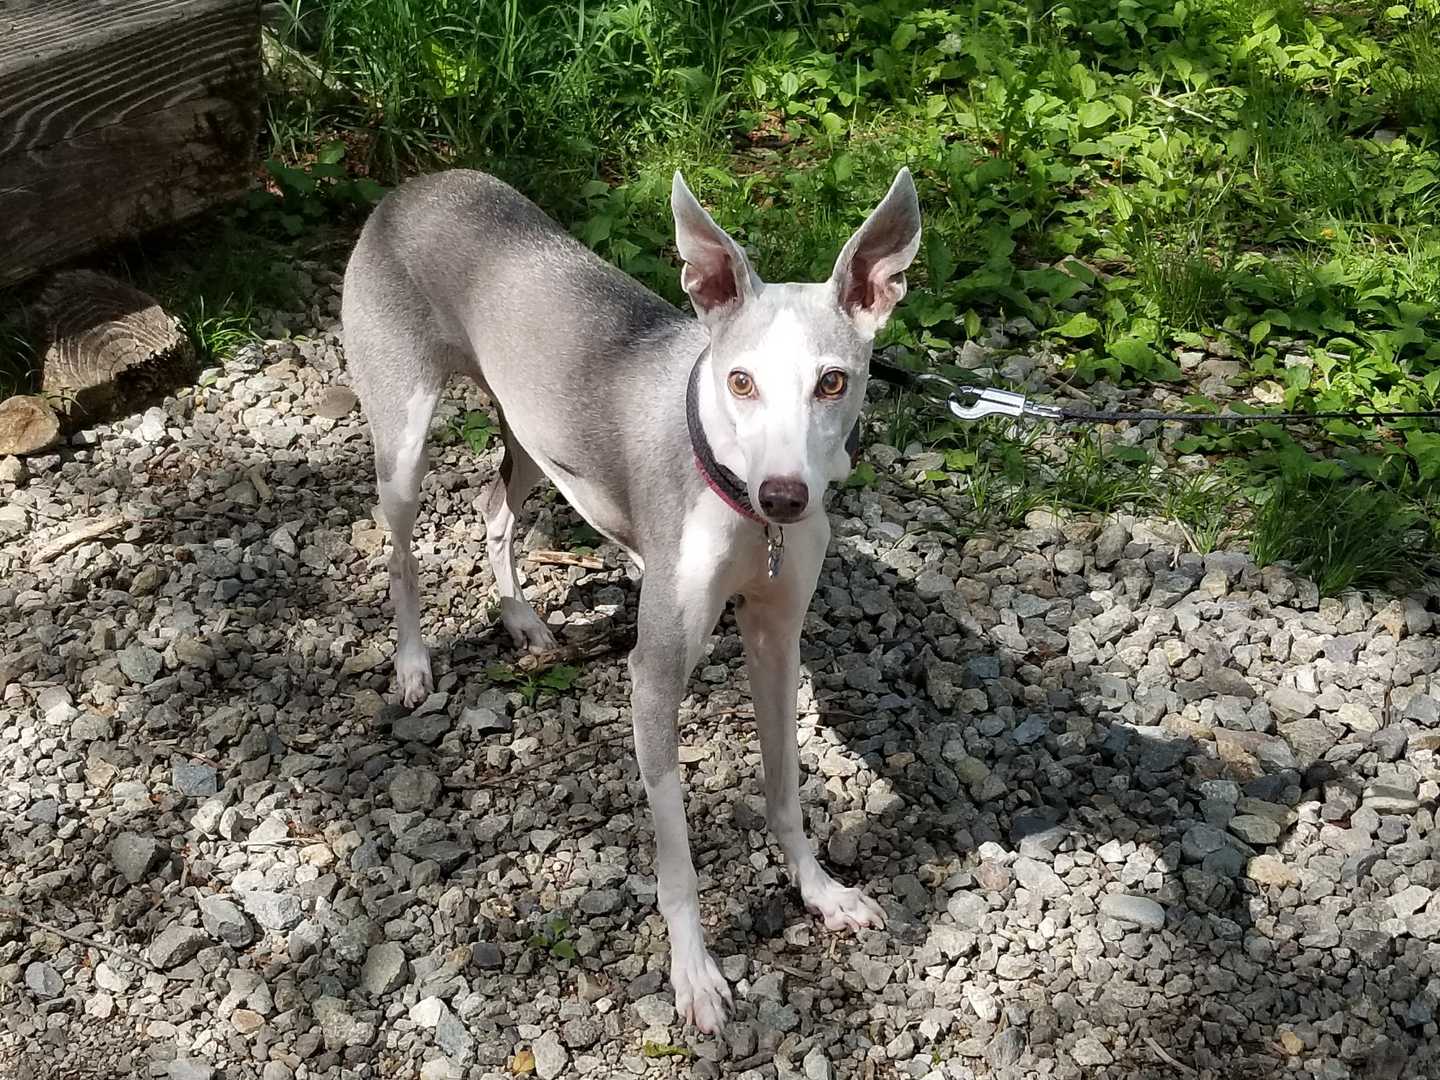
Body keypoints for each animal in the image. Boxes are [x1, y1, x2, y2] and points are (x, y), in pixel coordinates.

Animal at [342, 166, 921, 1032]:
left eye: (832, 381)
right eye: (740, 381)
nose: (785, 497)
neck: (736, 500)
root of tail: (422, 182)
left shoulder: (776, 643)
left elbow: (786, 790)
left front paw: (820, 892)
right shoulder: (653, 674)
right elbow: (676, 860)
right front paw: (694, 975)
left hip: (530, 432)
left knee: (493, 508)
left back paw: (522, 621)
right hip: (403, 436)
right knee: (403, 554)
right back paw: (413, 665)